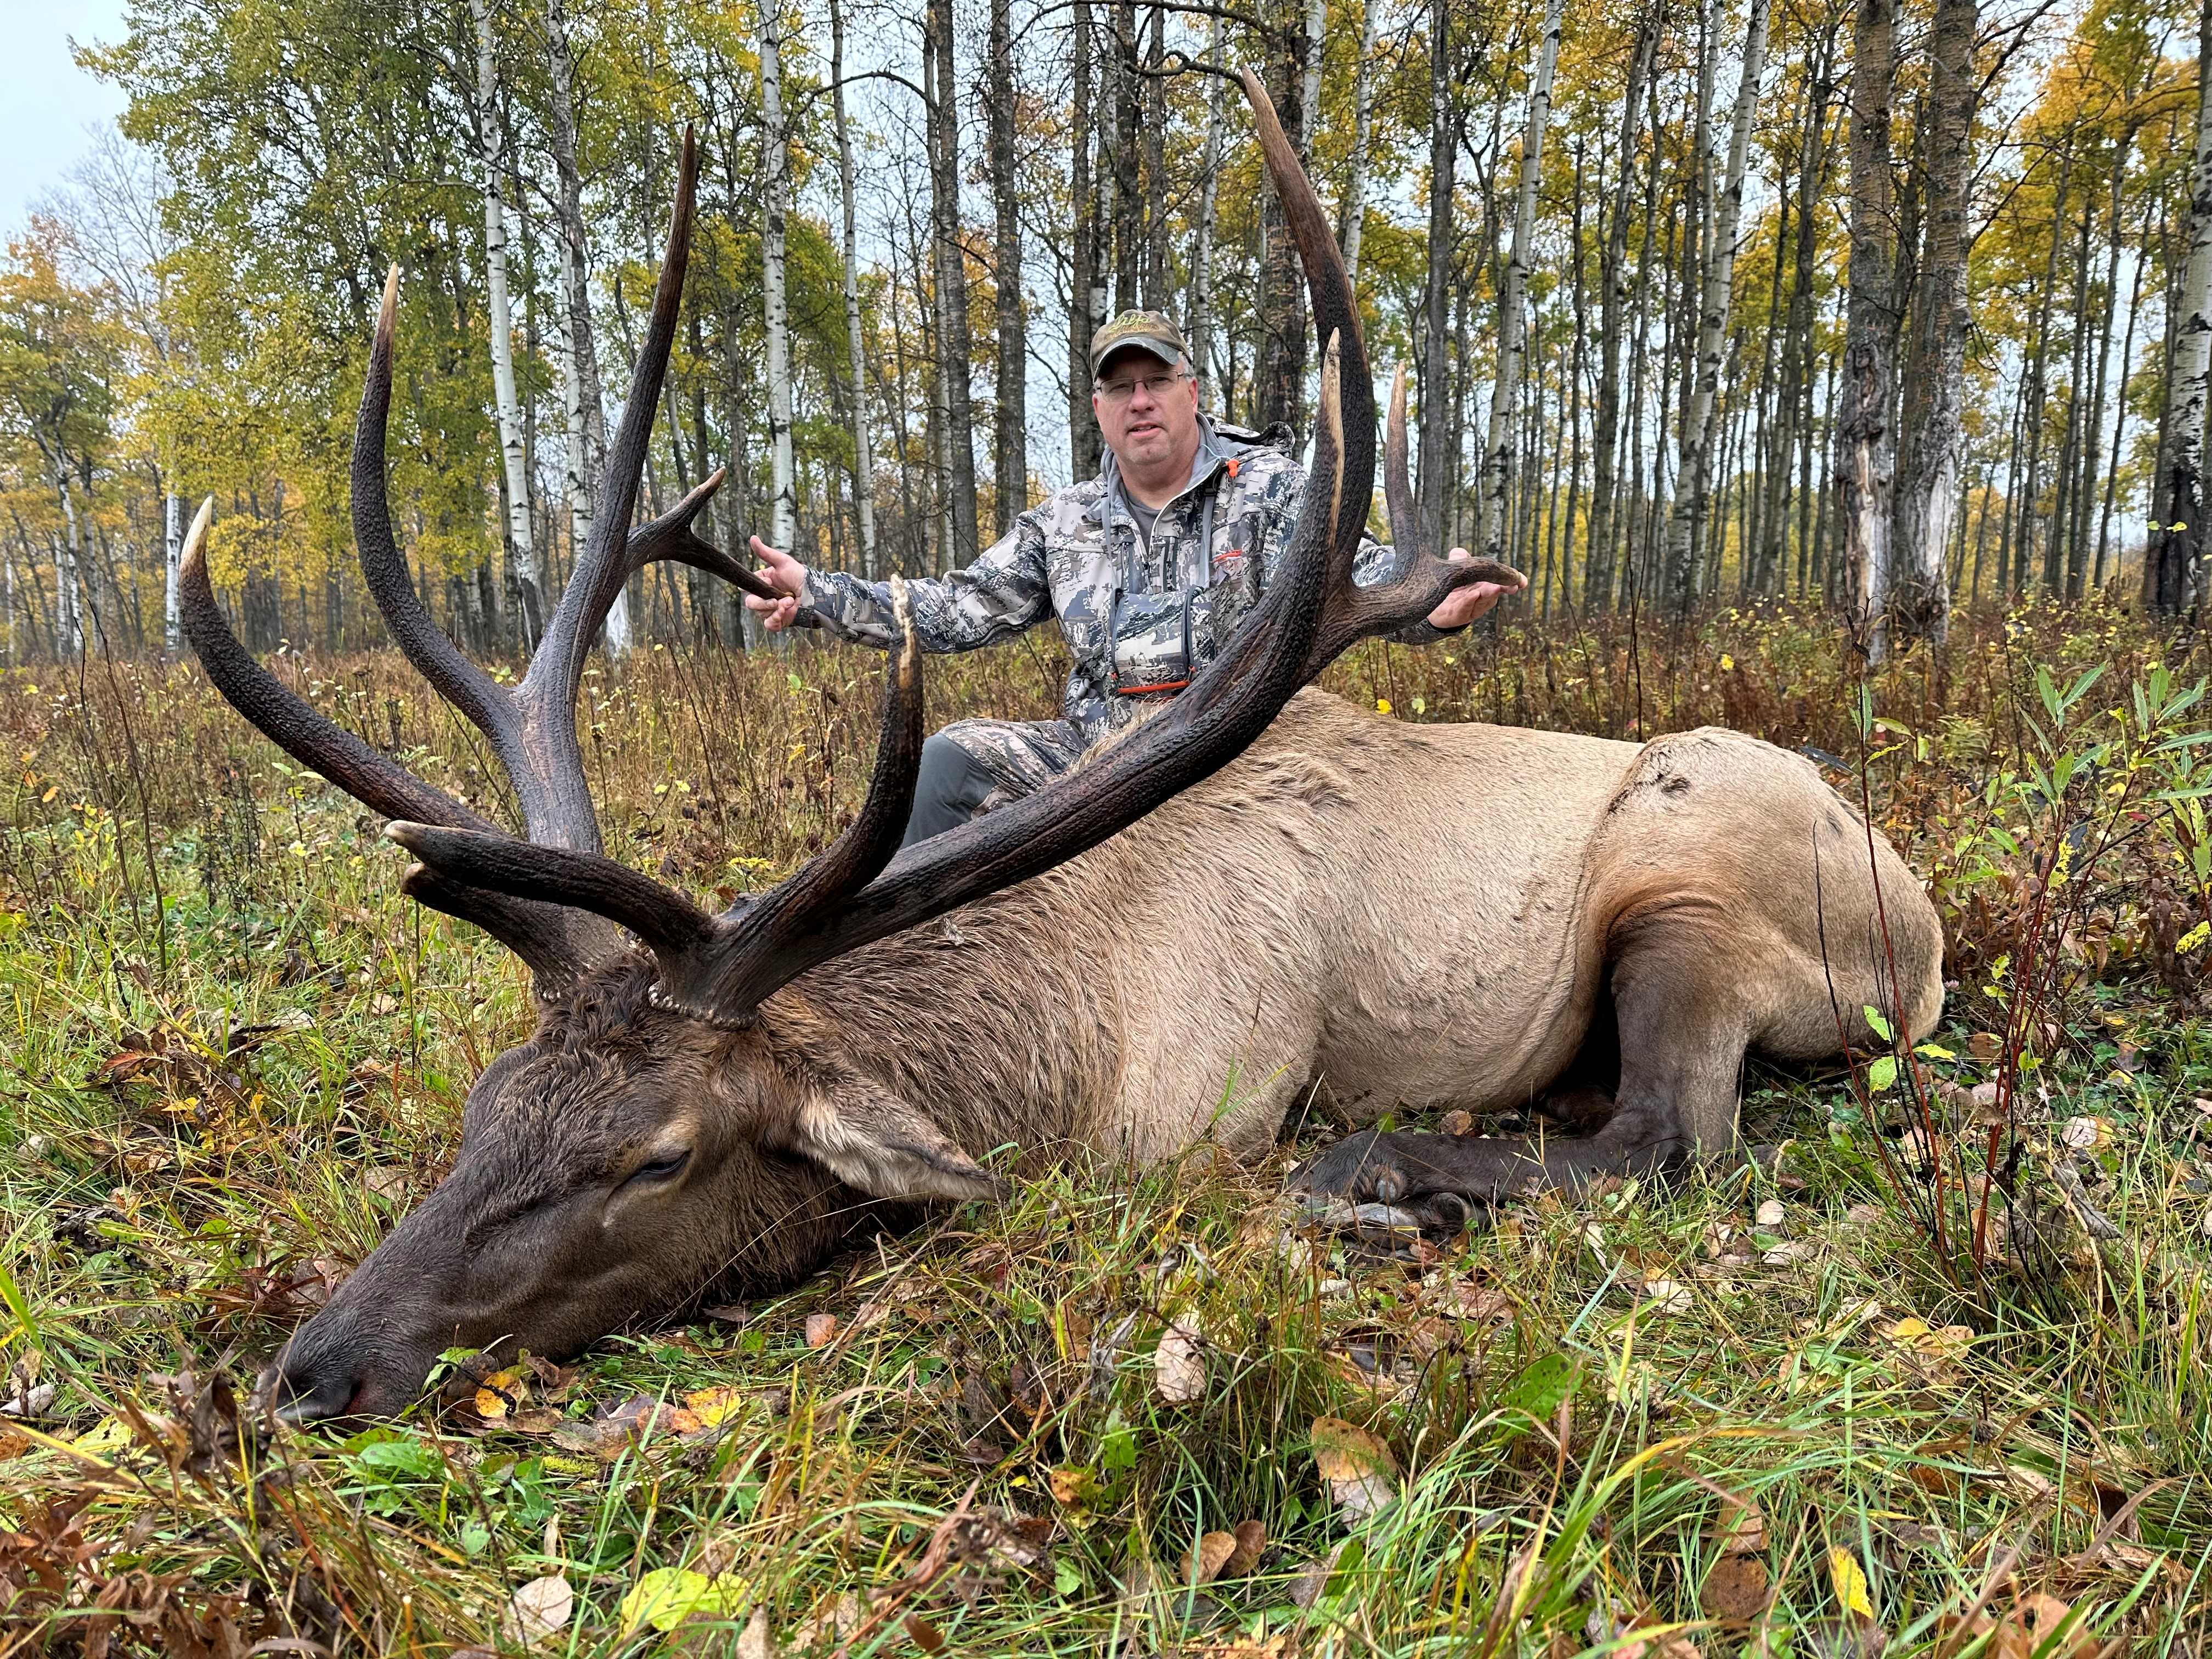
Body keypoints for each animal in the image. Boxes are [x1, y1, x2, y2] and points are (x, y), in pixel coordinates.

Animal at [181, 79, 1941, 1423]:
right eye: (491, 1102)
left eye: (657, 1155)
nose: (309, 1371)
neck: (1065, 1044)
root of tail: (1922, 932)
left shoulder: (1210, 1115)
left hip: (1693, 883)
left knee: (1665, 1139)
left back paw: (1392, 1172)